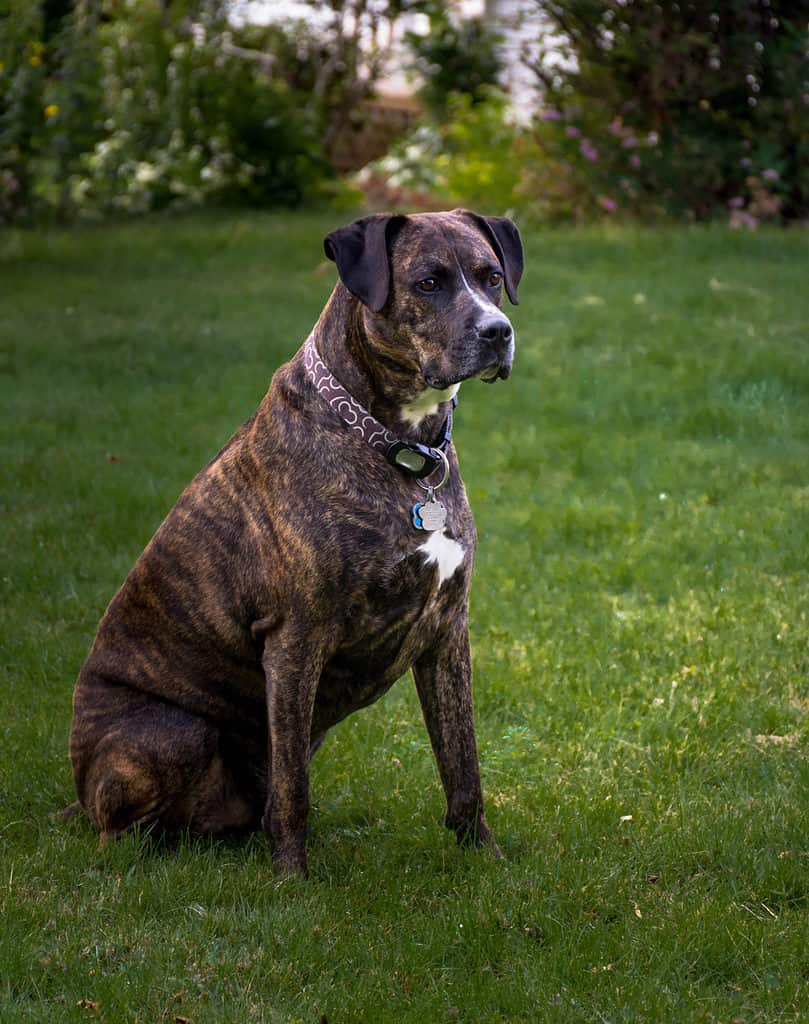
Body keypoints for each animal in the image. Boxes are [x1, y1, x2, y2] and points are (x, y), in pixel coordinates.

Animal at [65, 209, 524, 880]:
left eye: (491, 277)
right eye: (429, 283)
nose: (498, 331)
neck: (395, 443)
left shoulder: (447, 630)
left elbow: (462, 764)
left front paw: (488, 861)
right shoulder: (294, 640)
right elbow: (292, 788)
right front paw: (291, 881)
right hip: (170, 733)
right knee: (119, 832)